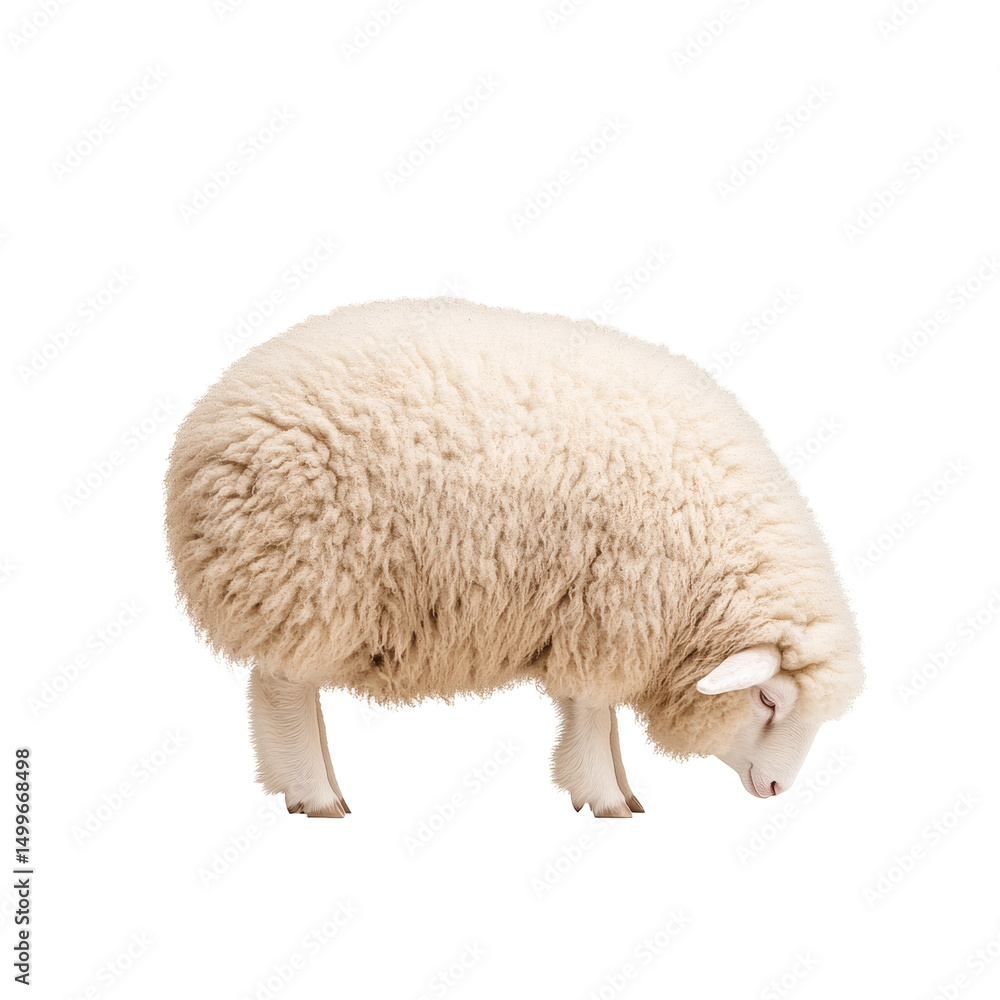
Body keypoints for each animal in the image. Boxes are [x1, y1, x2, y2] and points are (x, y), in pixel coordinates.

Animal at [165, 297, 862, 818]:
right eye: (768, 699)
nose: (776, 790)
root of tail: (209, 418)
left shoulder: (595, 618)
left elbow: (597, 714)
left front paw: (620, 789)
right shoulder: (611, 613)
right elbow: (591, 711)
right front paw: (605, 797)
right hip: (305, 575)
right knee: (283, 686)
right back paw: (315, 794)